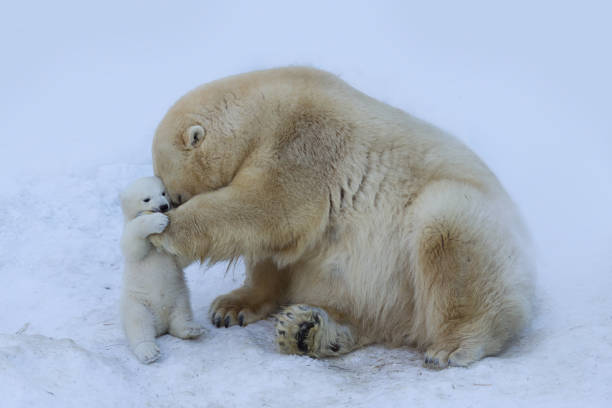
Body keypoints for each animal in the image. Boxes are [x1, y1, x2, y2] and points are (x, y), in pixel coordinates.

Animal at [151, 67, 532, 370]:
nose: (166, 205)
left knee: (448, 231)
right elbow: (275, 250)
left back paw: (453, 345)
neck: (264, 109)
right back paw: (307, 330)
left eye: (174, 195)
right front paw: (231, 307)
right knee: (365, 312)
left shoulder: (307, 142)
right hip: (386, 293)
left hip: (471, 226)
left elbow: (269, 207)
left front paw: (164, 234)